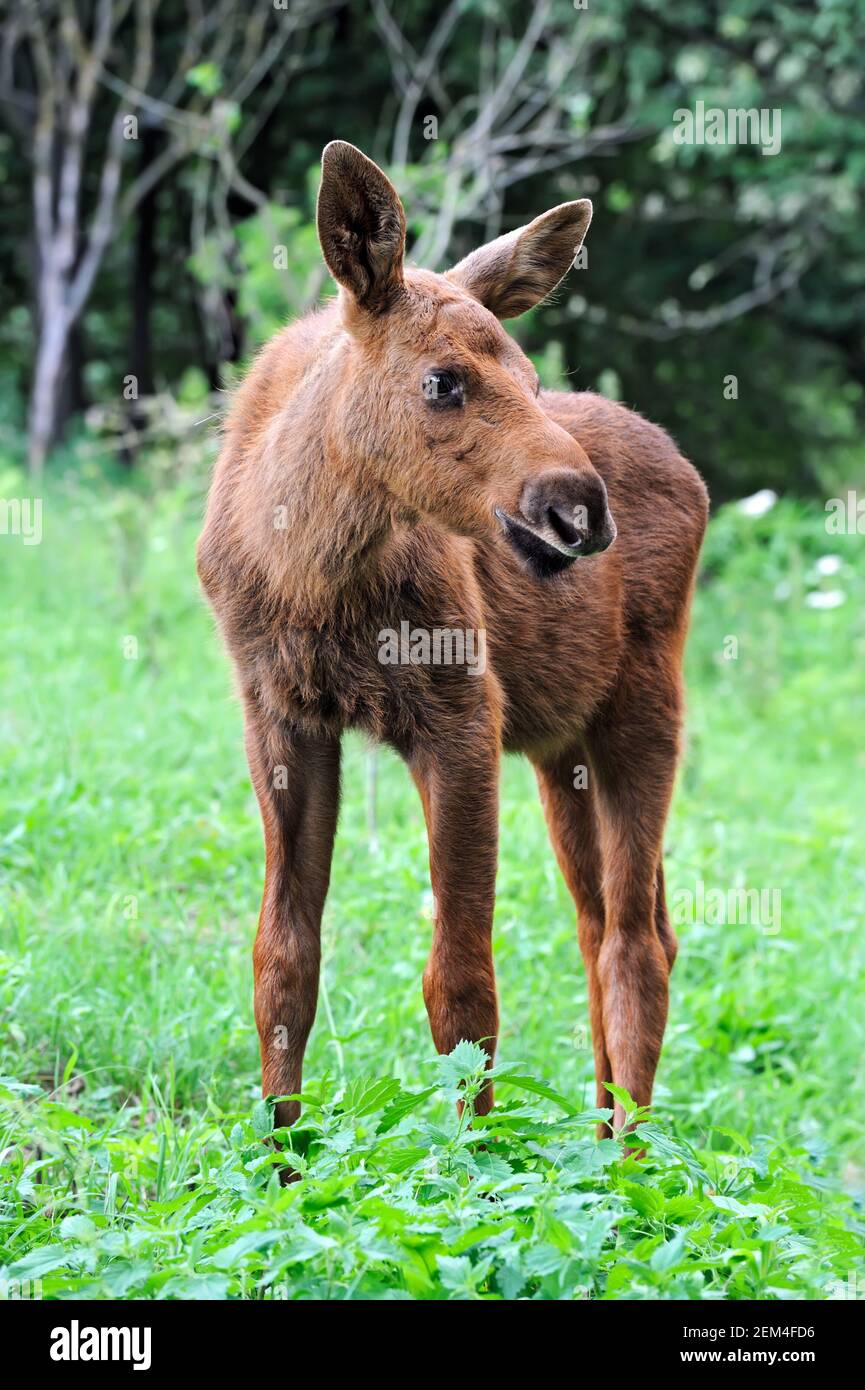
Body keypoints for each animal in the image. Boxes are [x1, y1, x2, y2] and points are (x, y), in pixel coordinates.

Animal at [197, 141, 709, 1145]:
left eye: (533, 378)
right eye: (442, 380)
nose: (579, 511)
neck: (307, 570)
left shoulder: (462, 713)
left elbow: (462, 983)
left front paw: (473, 1163)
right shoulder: (278, 716)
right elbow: (282, 960)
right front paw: (281, 1162)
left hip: (645, 708)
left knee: (638, 940)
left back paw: (627, 1165)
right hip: (560, 747)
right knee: (606, 924)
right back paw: (599, 1139)